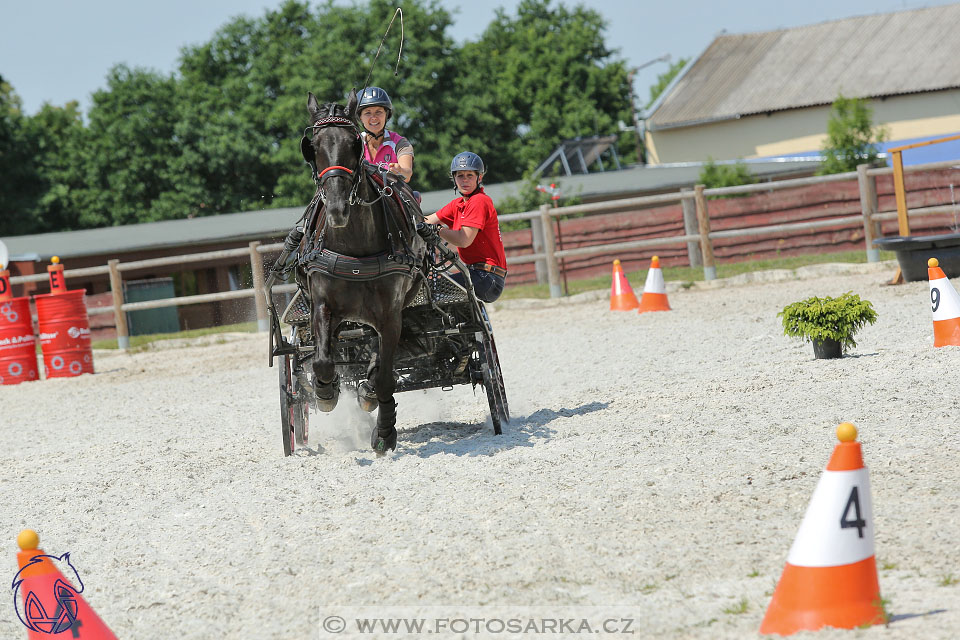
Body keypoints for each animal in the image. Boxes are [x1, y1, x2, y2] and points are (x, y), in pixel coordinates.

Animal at [296, 90, 424, 452]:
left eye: (353, 143)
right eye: (313, 145)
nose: (337, 207)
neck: (354, 243)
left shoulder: (390, 314)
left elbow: (385, 376)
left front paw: (384, 431)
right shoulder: (323, 305)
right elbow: (323, 360)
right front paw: (326, 391)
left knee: (377, 358)